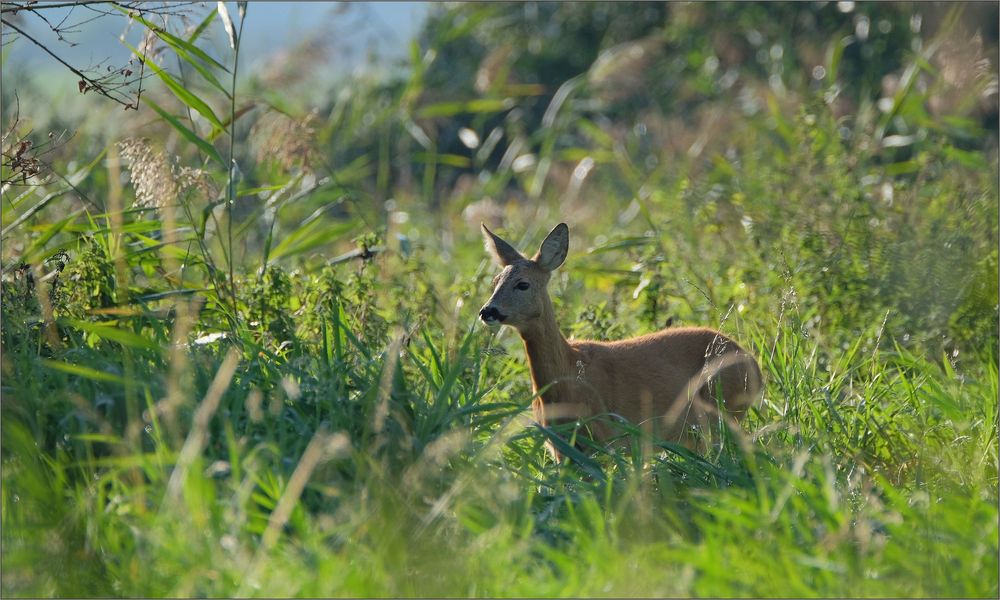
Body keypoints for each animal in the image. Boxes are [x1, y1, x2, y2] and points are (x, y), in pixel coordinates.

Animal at [480, 221, 760, 460]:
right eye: (495, 282)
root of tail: (754, 365)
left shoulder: (605, 437)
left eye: (523, 284)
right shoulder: (559, 446)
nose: (487, 311)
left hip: (722, 413)